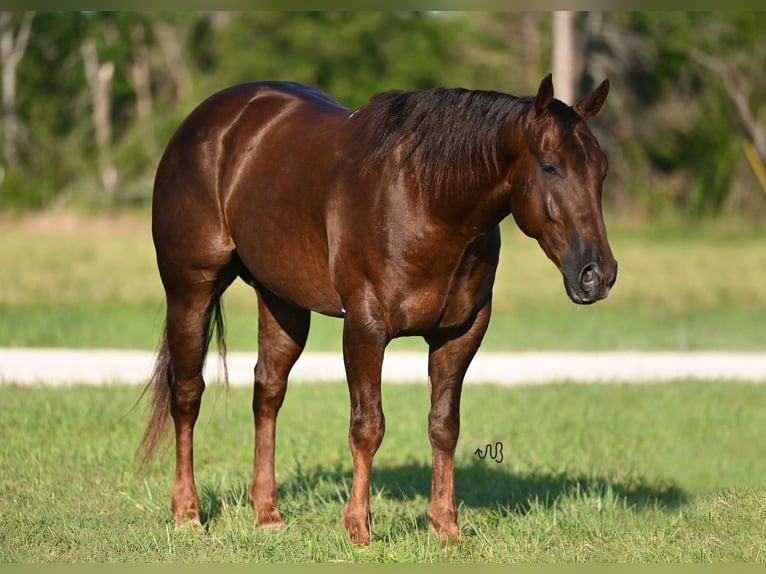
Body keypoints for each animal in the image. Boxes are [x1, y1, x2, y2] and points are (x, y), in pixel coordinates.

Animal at [138, 73, 616, 548]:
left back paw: (267, 512)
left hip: (282, 301)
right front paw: (358, 528)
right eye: (550, 166)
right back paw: (187, 512)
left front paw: (446, 527)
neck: (427, 201)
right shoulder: (365, 328)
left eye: (601, 170)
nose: (598, 275)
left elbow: (444, 426)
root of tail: (205, 122)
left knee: (268, 392)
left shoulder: (461, 333)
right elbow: (368, 426)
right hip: (190, 291)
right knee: (188, 394)